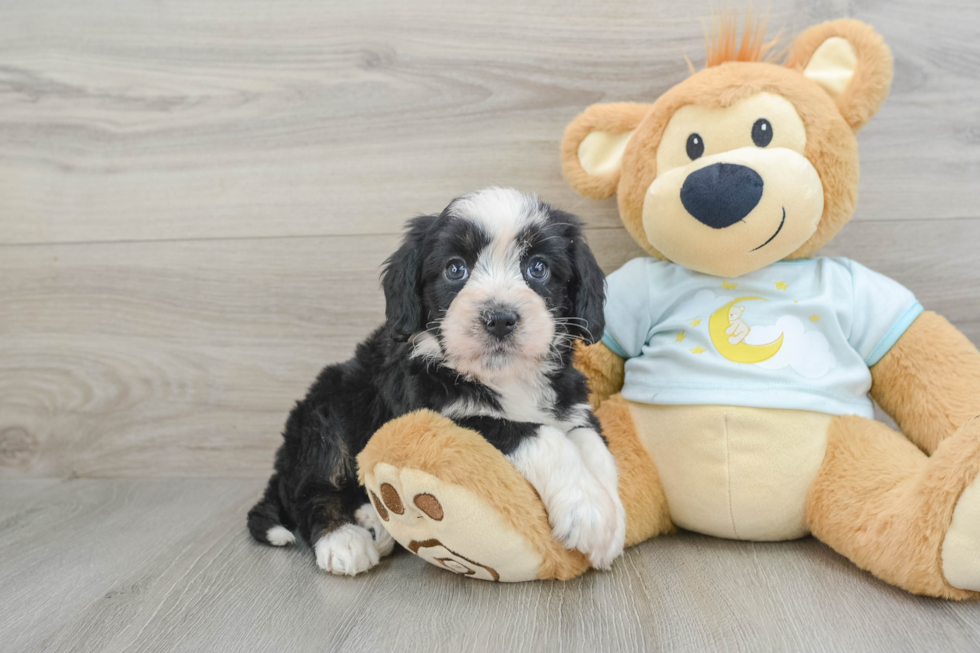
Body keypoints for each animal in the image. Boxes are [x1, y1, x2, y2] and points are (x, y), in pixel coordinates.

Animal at [249, 188, 624, 576]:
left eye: (538, 268)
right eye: (455, 269)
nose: (500, 318)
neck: (504, 377)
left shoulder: (571, 402)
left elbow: (593, 443)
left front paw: (609, 518)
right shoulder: (445, 416)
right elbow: (542, 435)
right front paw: (588, 513)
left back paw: (372, 520)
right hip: (327, 411)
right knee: (313, 487)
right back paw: (343, 538)